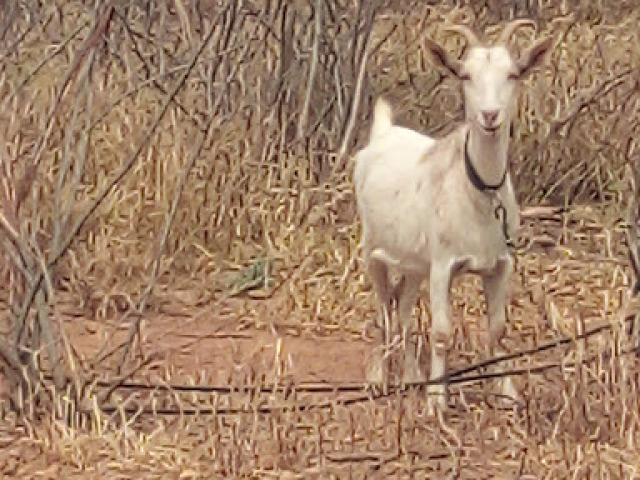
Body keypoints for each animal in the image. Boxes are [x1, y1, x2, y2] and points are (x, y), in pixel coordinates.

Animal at [356, 17, 556, 408]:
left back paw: (409, 376)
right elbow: (442, 332)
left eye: (513, 74)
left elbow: (497, 329)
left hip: (414, 262)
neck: (479, 191)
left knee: (402, 307)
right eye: (465, 75)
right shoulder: (442, 264)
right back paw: (377, 378)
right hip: (372, 249)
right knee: (384, 308)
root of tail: (384, 132)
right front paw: (436, 399)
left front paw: (506, 392)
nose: (490, 116)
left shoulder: (500, 264)